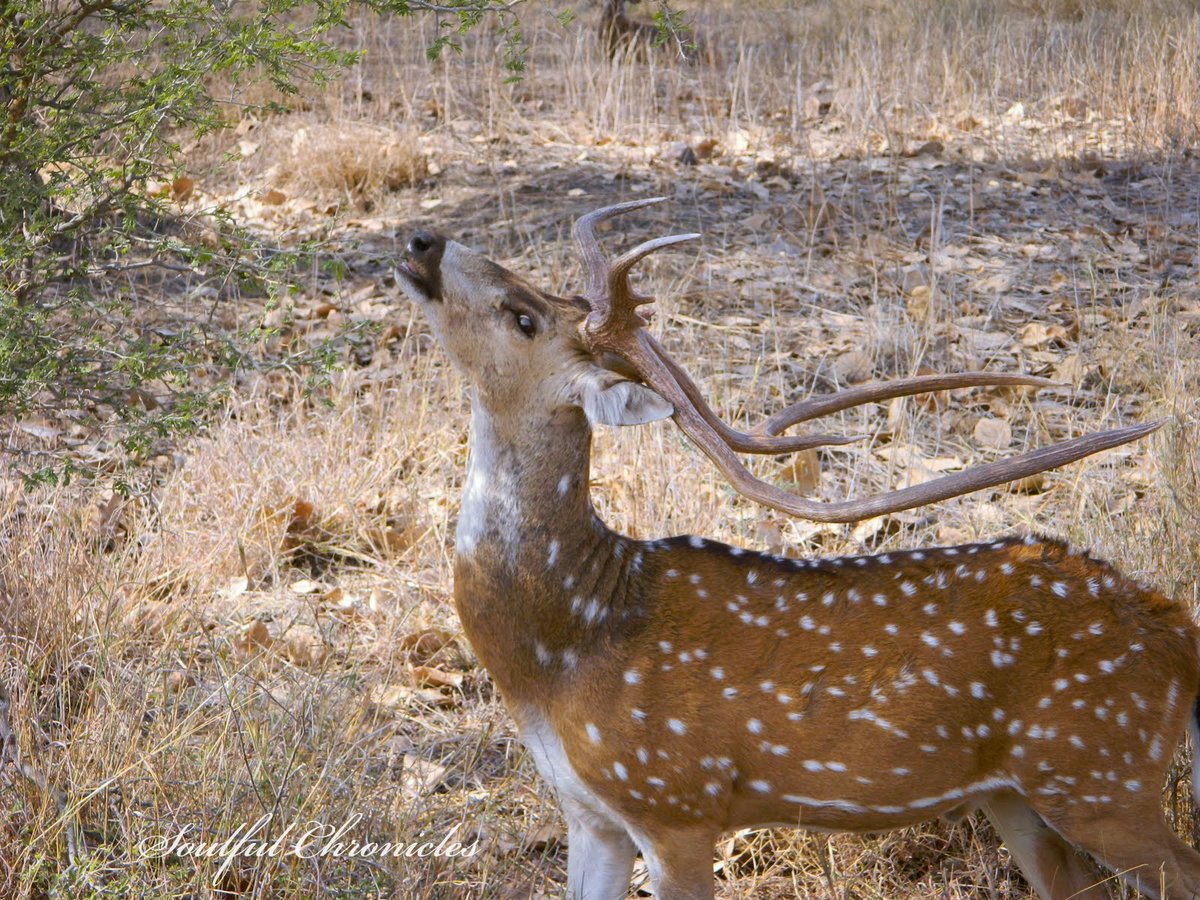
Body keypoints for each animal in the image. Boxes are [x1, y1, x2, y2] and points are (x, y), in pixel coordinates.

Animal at [398, 199, 1200, 900]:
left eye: (522, 317)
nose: (420, 240)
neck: (560, 651)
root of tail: (1180, 631)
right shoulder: (590, 813)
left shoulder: (677, 801)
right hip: (1024, 794)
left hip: (1104, 773)